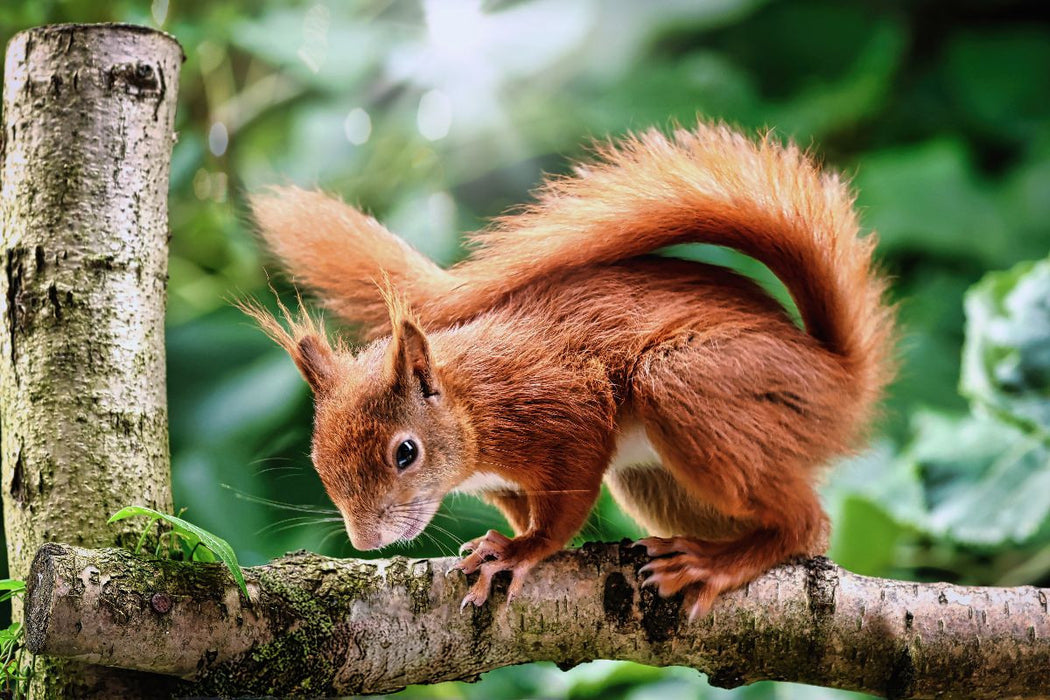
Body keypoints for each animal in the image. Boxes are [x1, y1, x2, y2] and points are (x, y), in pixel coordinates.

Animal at [243, 121, 895, 618]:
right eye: (318, 462)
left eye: (406, 453)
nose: (367, 541)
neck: (472, 403)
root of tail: (840, 379)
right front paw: (497, 538)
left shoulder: (563, 410)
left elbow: (566, 503)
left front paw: (521, 550)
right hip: (660, 480)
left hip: (690, 383)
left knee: (807, 525)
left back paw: (715, 564)